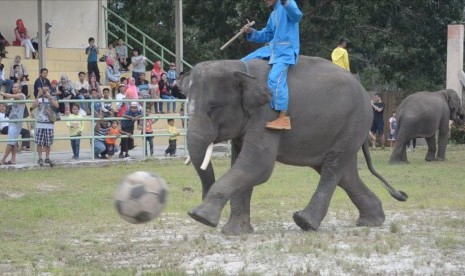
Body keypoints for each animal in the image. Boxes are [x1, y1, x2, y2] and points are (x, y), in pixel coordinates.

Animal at [185, 56, 406, 235]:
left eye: (214, 107)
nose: (200, 198)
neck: (241, 68)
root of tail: (366, 94)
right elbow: (242, 165)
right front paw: (234, 233)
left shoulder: (267, 114)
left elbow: (257, 166)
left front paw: (200, 217)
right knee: (345, 173)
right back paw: (372, 221)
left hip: (355, 122)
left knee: (332, 168)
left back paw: (305, 222)